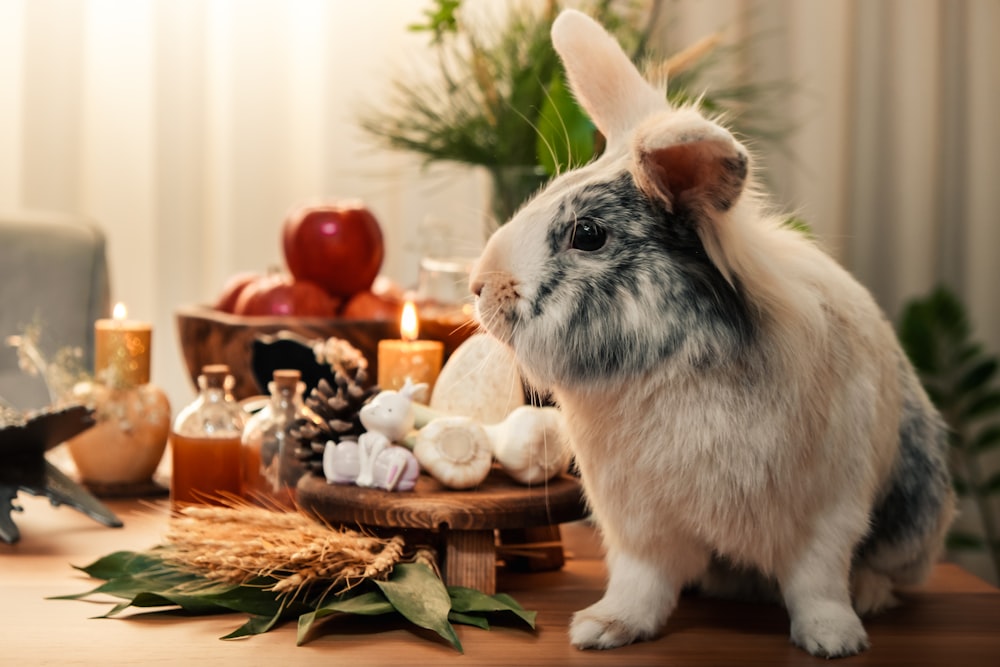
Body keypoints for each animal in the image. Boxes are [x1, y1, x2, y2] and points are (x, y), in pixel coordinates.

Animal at [472, 7, 956, 660]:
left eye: (588, 234)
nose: (480, 286)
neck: (669, 368)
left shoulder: (827, 512)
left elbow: (818, 582)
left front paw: (834, 640)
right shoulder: (639, 522)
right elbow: (641, 583)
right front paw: (604, 628)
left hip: (914, 517)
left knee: (882, 571)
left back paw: (871, 596)